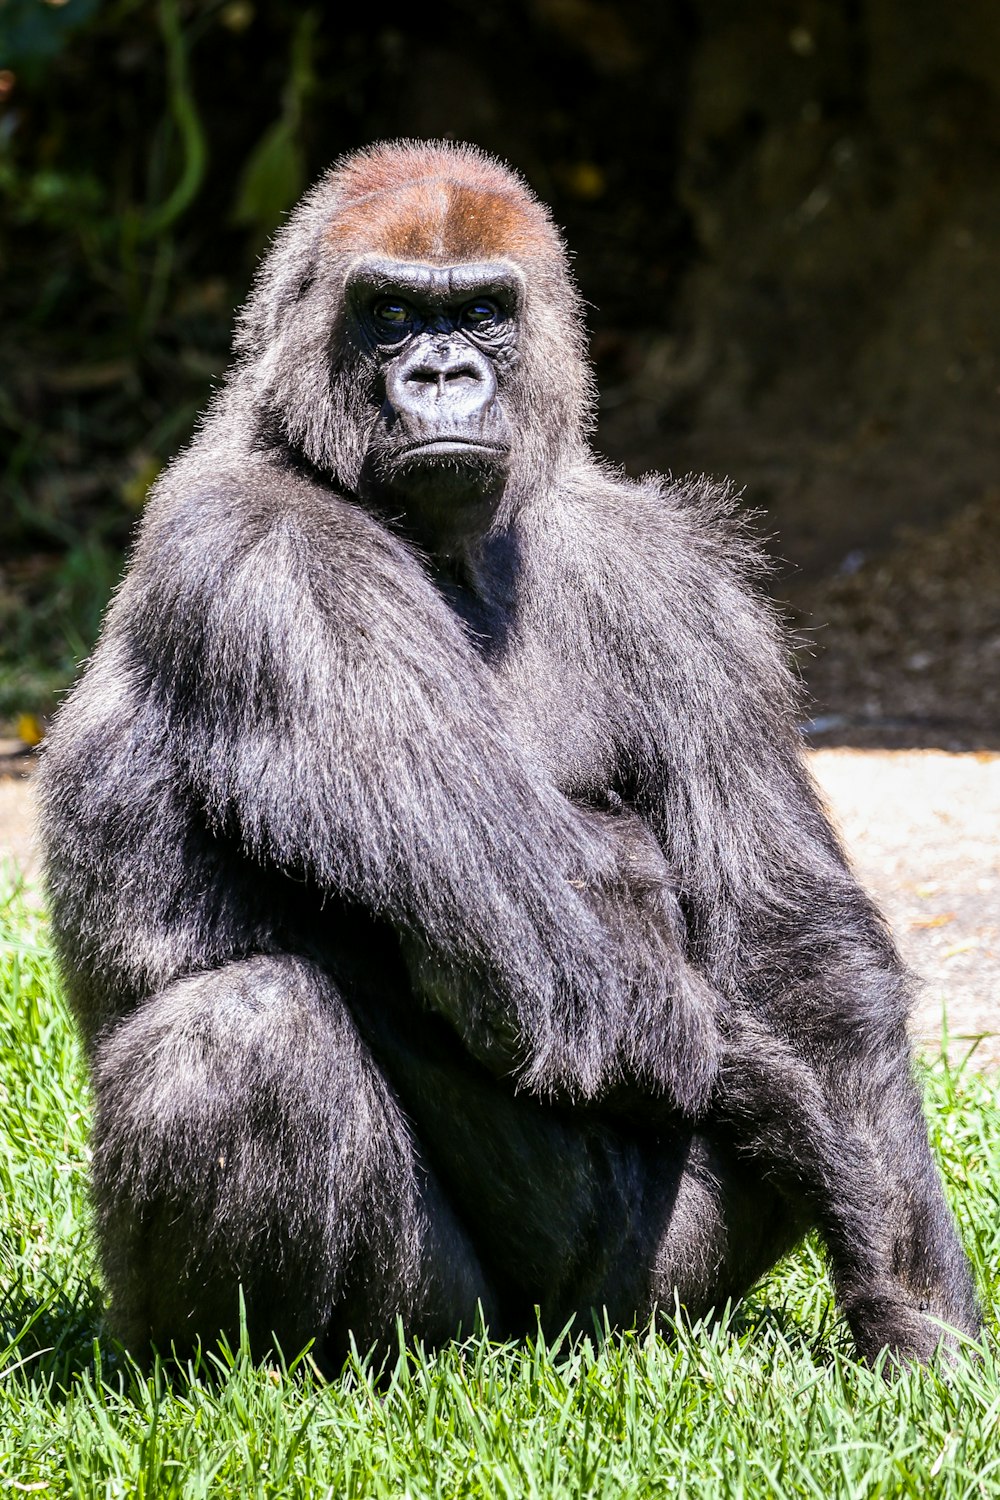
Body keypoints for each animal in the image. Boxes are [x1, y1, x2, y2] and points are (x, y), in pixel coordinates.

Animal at [37, 143, 977, 1374]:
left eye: (481, 312)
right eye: (391, 315)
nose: (442, 375)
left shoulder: (670, 570)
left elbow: (791, 961)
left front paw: (919, 1316)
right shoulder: (264, 557)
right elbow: (563, 944)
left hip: (643, 1309)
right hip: (425, 1332)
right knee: (248, 1030)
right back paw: (243, 1372)